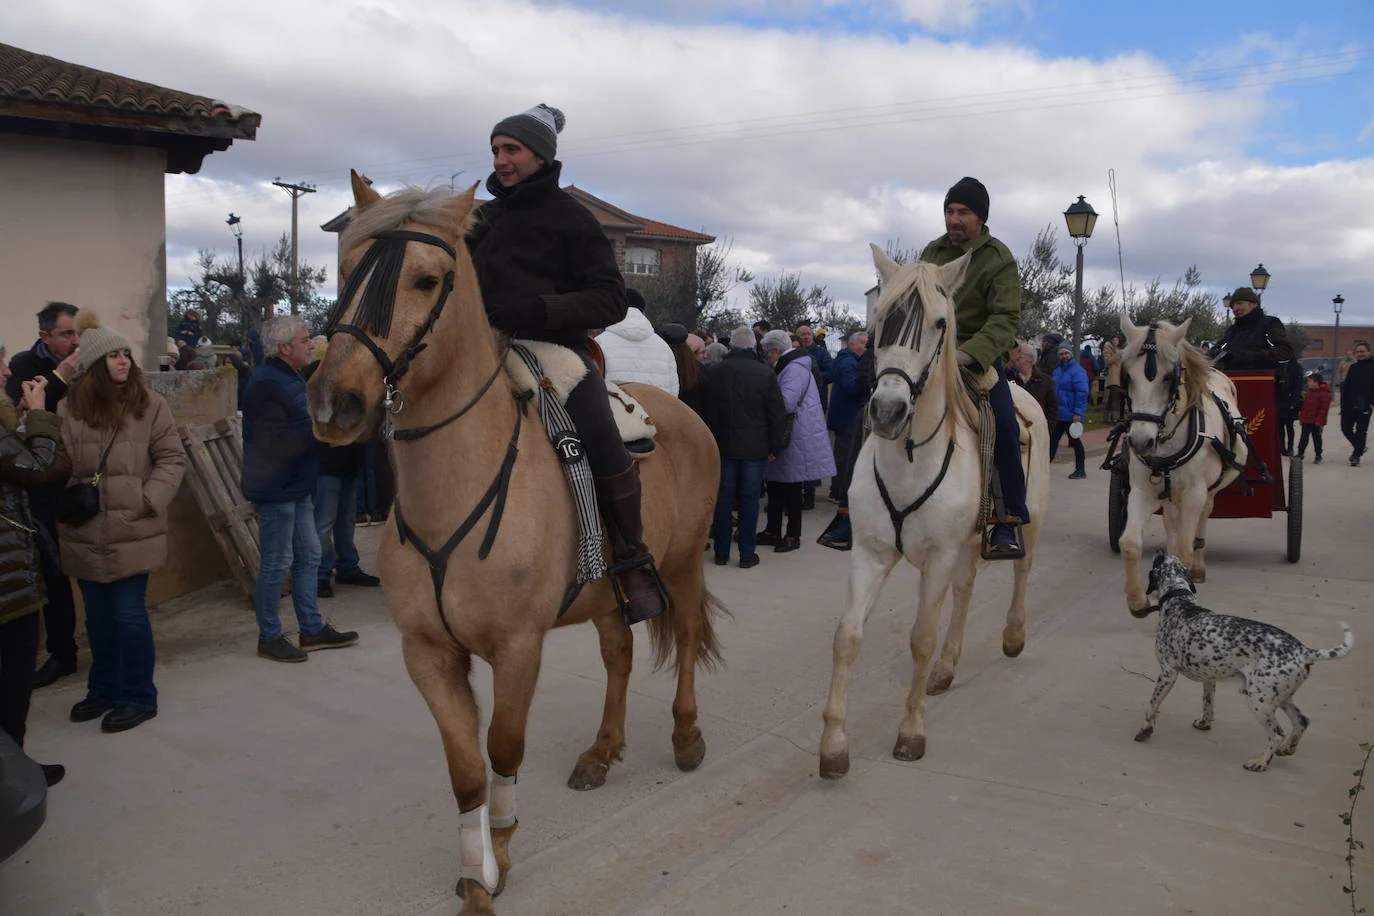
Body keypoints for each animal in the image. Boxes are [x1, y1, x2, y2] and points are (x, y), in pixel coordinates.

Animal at [307, 175, 725, 911]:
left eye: (426, 279)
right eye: (348, 267)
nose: (336, 402)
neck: (456, 489)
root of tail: (681, 411)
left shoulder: (517, 649)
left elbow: (503, 750)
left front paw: (499, 851)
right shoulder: (429, 653)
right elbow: (466, 771)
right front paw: (477, 874)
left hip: (682, 564)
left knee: (687, 634)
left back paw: (685, 735)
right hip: (611, 592)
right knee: (619, 655)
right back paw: (601, 750)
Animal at [813, 247, 1049, 780]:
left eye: (941, 322)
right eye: (881, 317)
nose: (886, 411)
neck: (909, 458)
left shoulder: (938, 556)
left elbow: (921, 637)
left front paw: (911, 733)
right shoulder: (870, 552)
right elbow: (845, 636)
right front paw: (834, 745)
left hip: (1030, 522)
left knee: (1023, 572)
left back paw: (1013, 636)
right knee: (965, 592)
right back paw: (946, 669)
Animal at [1110, 317, 1253, 615]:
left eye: (1168, 377)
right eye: (1128, 375)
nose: (1140, 441)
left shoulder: (1194, 494)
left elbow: (1185, 551)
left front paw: (1182, 576)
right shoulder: (1142, 491)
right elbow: (1129, 543)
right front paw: (1137, 600)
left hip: (1208, 490)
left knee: (1203, 517)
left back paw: (1198, 564)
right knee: (1171, 521)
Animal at [1126, 549, 1352, 769]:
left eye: (1158, 560)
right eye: (1168, 557)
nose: (1160, 550)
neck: (1180, 600)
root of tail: (1305, 651)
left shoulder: (1167, 673)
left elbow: (1152, 705)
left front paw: (1144, 731)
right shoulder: (1209, 679)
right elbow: (1208, 705)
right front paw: (1204, 723)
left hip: (1259, 701)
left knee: (1277, 734)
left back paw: (1260, 762)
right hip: (1280, 697)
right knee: (1301, 722)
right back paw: (1287, 748)